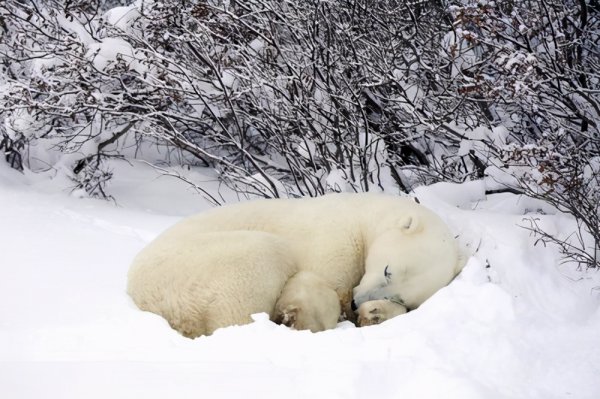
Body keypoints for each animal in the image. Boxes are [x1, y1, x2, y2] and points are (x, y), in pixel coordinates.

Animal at [127, 194, 464, 338]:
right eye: (386, 269)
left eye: (399, 294)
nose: (357, 303)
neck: (365, 215)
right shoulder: (336, 238)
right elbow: (321, 282)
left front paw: (375, 313)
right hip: (205, 264)